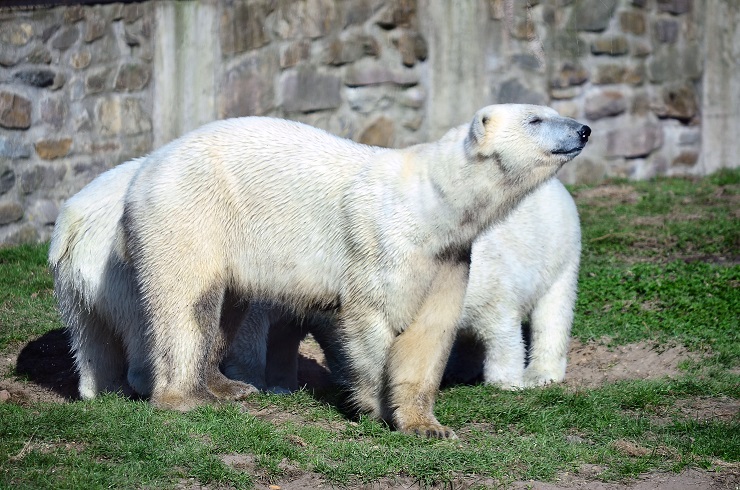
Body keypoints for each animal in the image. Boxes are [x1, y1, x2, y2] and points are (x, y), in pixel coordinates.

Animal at [124, 103, 592, 436]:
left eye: (551, 110)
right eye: (536, 118)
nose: (584, 129)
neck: (431, 204)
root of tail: (148, 165)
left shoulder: (449, 259)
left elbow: (428, 331)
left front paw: (427, 426)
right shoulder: (384, 241)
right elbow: (374, 317)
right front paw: (375, 408)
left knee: (227, 305)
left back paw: (227, 385)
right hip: (191, 211)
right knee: (187, 300)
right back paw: (188, 398)